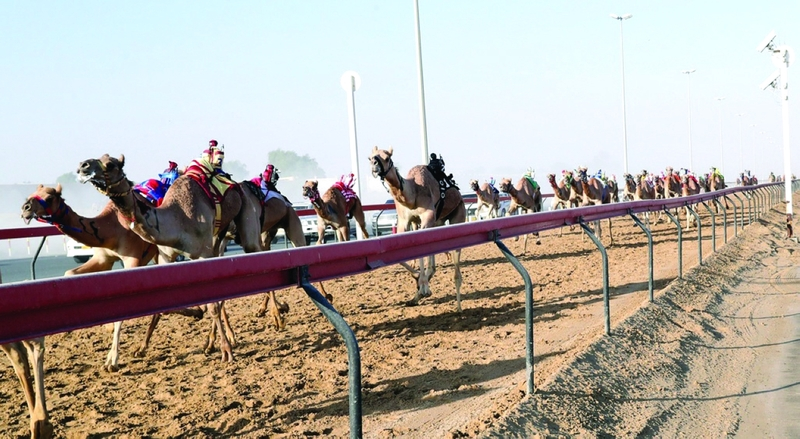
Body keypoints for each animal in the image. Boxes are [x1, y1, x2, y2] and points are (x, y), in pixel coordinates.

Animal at [76, 153, 262, 362]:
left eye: (111, 164)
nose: (83, 165)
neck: (178, 218)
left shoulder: (203, 253)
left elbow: (213, 304)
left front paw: (227, 351)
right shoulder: (166, 255)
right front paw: (141, 348)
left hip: (246, 216)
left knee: (256, 250)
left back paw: (274, 318)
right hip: (218, 237)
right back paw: (210, 342)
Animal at [368, 146, 468, 312]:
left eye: (387, 157)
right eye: (370, 157)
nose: (375, 165)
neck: (413, 193)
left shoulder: (427, 217)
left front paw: (424, 287)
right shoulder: (405, 222)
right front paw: (418, 281)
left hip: (458, 213)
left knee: (456, 256)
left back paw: (458, 306)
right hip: (437, 222)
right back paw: (417, 295)